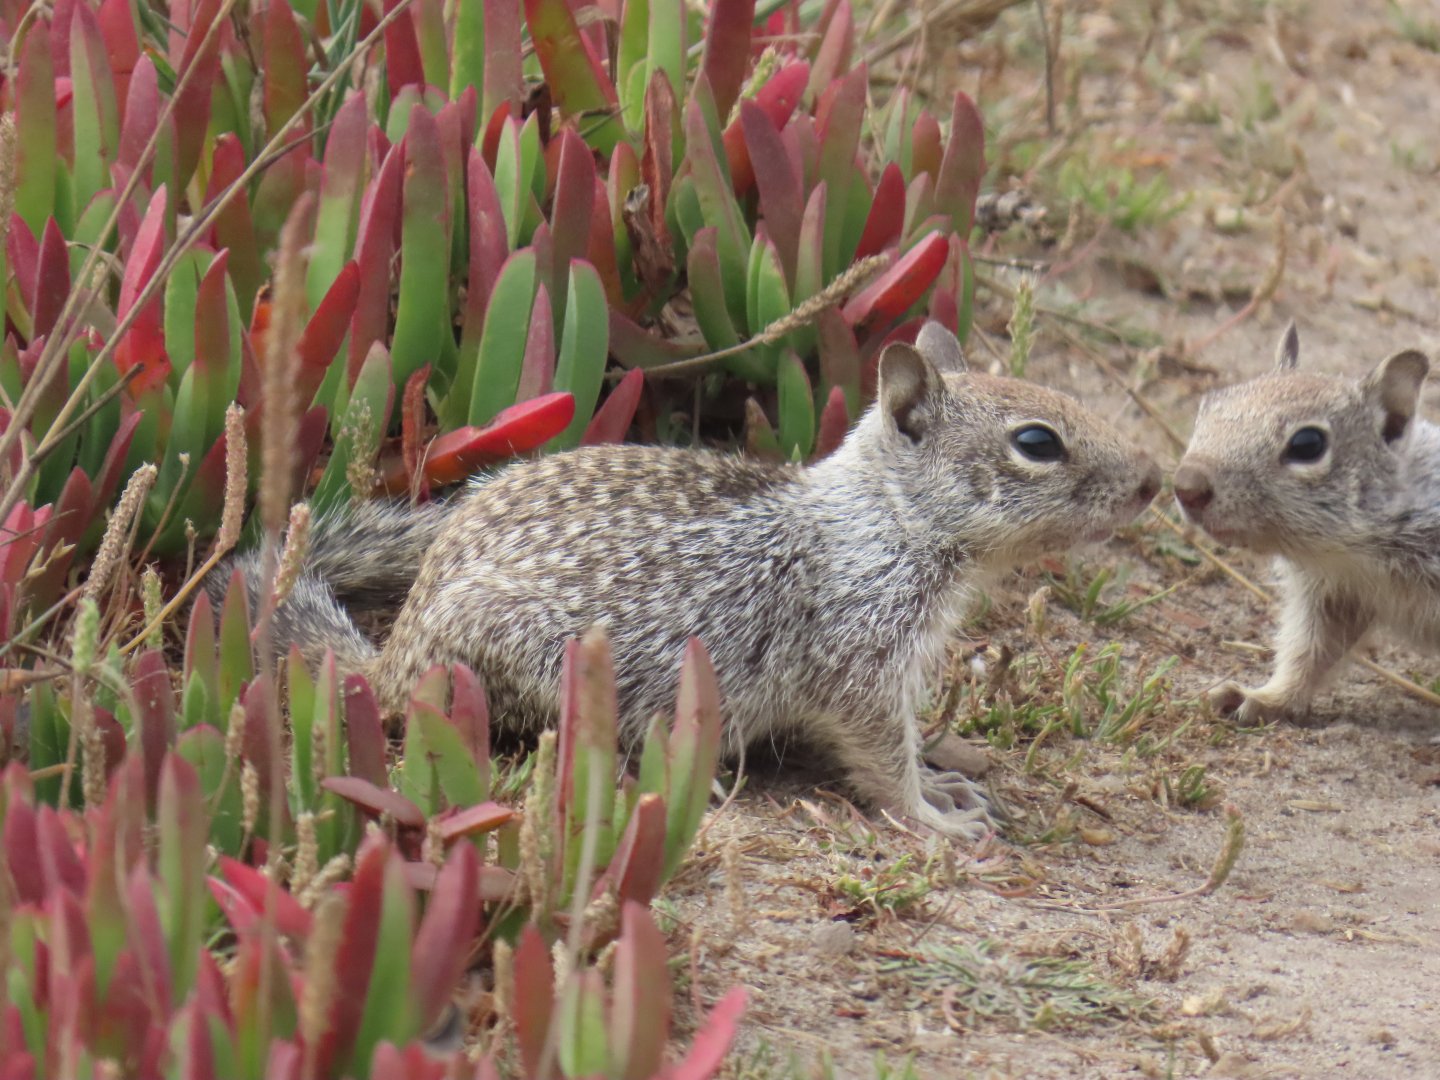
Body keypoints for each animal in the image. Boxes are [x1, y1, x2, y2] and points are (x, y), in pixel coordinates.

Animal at [213, 322, 1162, 839]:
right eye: (1036, 442)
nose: (1154, 482)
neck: (883, 519)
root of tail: (391, 655)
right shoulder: (856, 661)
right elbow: (881, 756)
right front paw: (933, 818)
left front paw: (947, 777)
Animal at [1172, 322, 1437, 722]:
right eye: (1209, 404)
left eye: (1308, 445)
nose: (1186, 486)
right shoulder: (1335, 594)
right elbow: (1309, 655)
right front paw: (1264, 698)